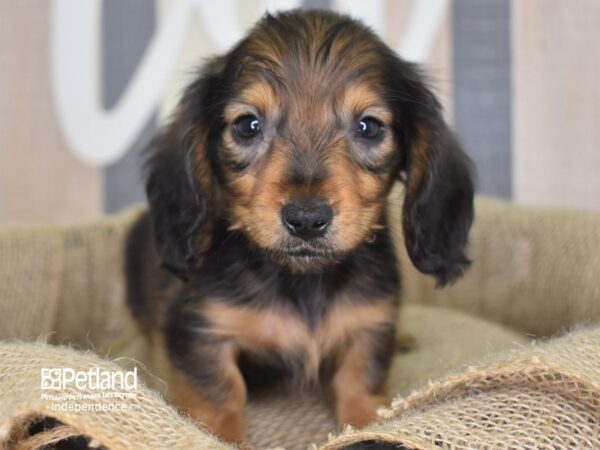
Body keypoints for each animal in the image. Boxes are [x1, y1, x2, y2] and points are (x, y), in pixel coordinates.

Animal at [126, 8, 474, 444]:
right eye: (248, 125)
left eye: (369, 127)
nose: (307, 219)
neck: (302, 281)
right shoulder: (201, 331)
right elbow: (218, 398)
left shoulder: (368, 326)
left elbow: (362, 387)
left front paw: (367, 424)